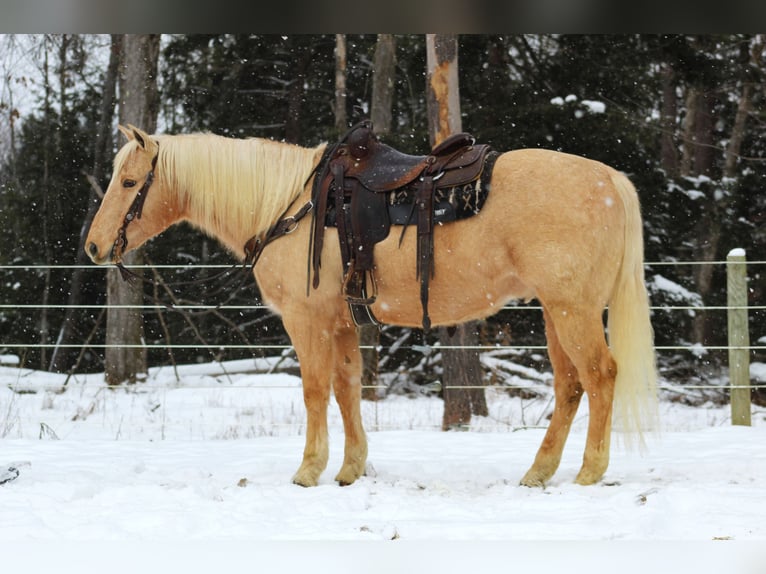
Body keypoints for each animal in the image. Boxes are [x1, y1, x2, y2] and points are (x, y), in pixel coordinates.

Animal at [85, 124, 660, 488]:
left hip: (572, 310)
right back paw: (539, 472)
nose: (93, 247)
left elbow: (315, 392)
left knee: (600, 375)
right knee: (570, 385)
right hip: (554, 312)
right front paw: (350, 469)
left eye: (130, 182)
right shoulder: (342, 323)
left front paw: (309, 470)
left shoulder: (307, 321)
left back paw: (589, 471)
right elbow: (347, 390)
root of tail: (610, 179)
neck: (290, 207)